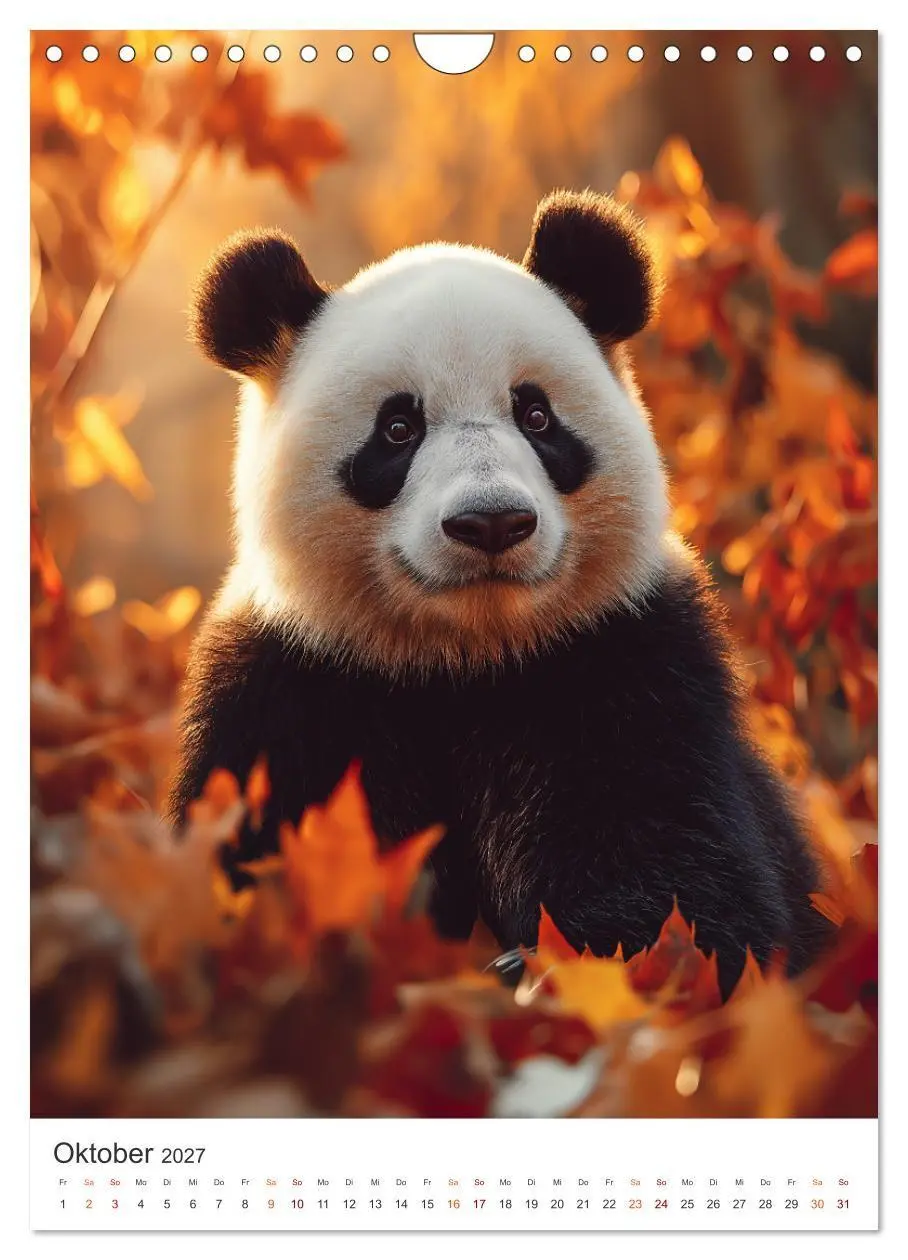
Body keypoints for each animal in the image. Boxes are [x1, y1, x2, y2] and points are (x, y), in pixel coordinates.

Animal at [170, 190, 831, 997]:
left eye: (536, 415)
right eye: (398, 427)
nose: (491, 522)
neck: (468, 652)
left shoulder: (625, 656)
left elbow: (669, 857)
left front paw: (562, 964)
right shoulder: (295, 684)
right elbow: (260, 844)